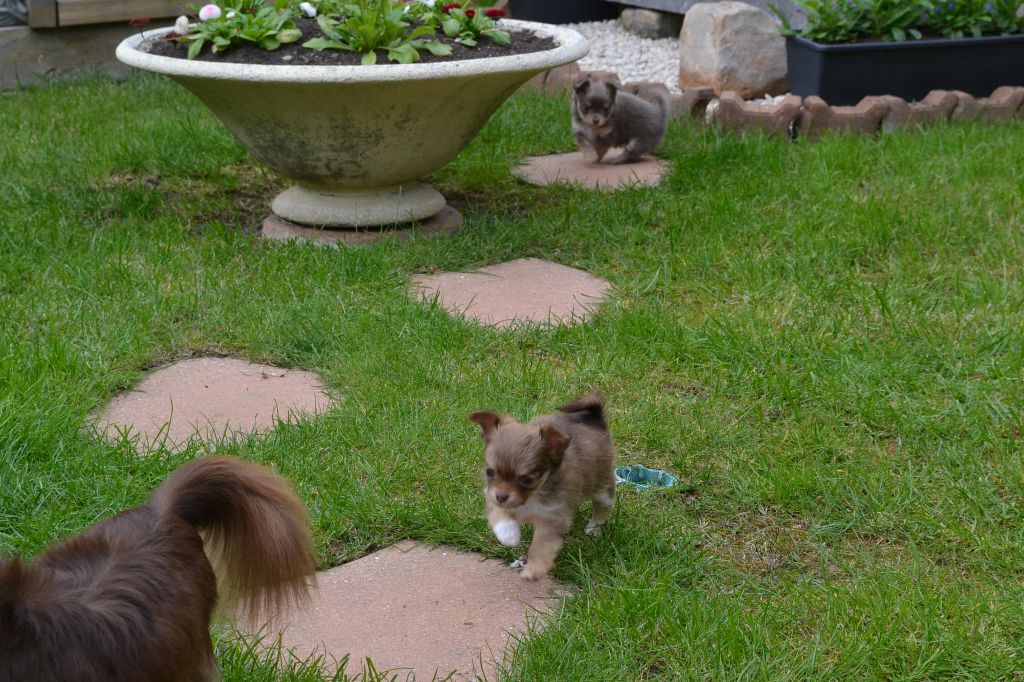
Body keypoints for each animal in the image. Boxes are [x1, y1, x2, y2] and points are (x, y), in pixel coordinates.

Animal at [469, 394, 616, 581]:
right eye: (490, 472)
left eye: (526, 479)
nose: (501, 496)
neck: (532, 497)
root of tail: (595, 417)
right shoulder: (492, 495)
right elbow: (500, 515)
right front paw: (509, 535)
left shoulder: (552, 518)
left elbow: (540, 547)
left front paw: (533, 570)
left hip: (601, 486)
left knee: (603, 506)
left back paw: (593, 529)